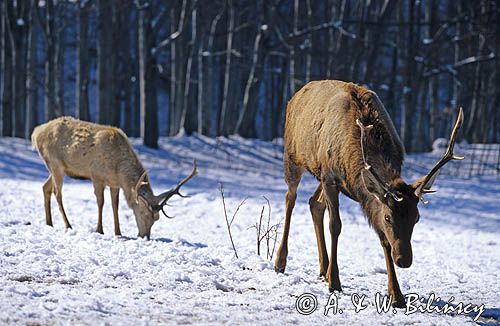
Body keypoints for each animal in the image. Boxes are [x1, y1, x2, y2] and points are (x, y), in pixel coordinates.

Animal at [30, 116, 199, 238]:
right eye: (144, 213)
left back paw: (49, 223)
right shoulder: (96, 176)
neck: (119, 170)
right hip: (55, 164)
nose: (145, 236)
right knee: (57, 193)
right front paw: (99, 229)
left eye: (156, 218)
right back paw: (68, 225)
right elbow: (101, 202)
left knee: (45, 187)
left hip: (58, 168)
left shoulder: (114, 184)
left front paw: (118, 232)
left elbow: (115, 205)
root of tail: (35, 132)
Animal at [276, 80, 462, 306]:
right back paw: (281, 262)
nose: (404, 260)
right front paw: (335, 282)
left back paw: (323, 270)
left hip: (318, 174)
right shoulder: (330, 177)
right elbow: (335, 226)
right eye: (389, 217)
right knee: (290, 198)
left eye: (416, 218)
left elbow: (384, 240)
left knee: (314, 203)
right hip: (293, 156)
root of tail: (297, 94)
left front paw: (396, 294)